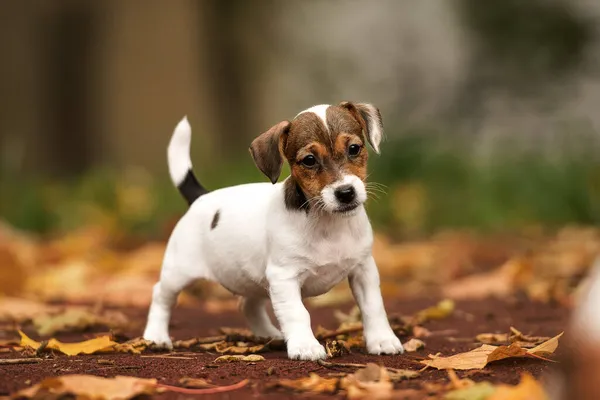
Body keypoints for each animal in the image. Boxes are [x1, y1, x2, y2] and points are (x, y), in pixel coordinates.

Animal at [142, 101, 404, 360]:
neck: (328, 223)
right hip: (178, 272)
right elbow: (298, 313)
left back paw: (269, 335)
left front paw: (382, 340)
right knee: (161, 296)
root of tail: (201, 197)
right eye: (309, 160)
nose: (345, 193)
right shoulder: (284, 277)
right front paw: (305, 346)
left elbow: (373, 307)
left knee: (248, 305)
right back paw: (156, 336)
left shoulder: (363, 270)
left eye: (354, 148)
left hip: (250, 278)